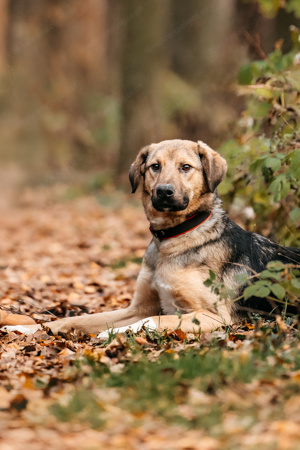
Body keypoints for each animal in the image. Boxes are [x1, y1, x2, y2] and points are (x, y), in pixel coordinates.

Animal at [0, 139, 300, 336]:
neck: (173, 238)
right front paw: (23, 327)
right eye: (155, 166)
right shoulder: (138, 307)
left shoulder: (214, 316)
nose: (164, 192)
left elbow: (153, 321)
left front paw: (114, 334)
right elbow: (80, 319)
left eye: (186, 167)